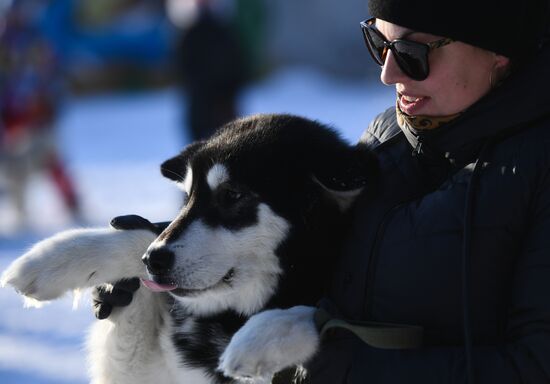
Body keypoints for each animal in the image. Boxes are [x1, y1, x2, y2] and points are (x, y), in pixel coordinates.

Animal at [0, 114, 378, 384]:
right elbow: (140, 238)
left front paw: (268, 334)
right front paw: (53, 260)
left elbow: (320, 314)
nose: (153, 261)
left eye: (232, 195)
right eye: (187, 197)